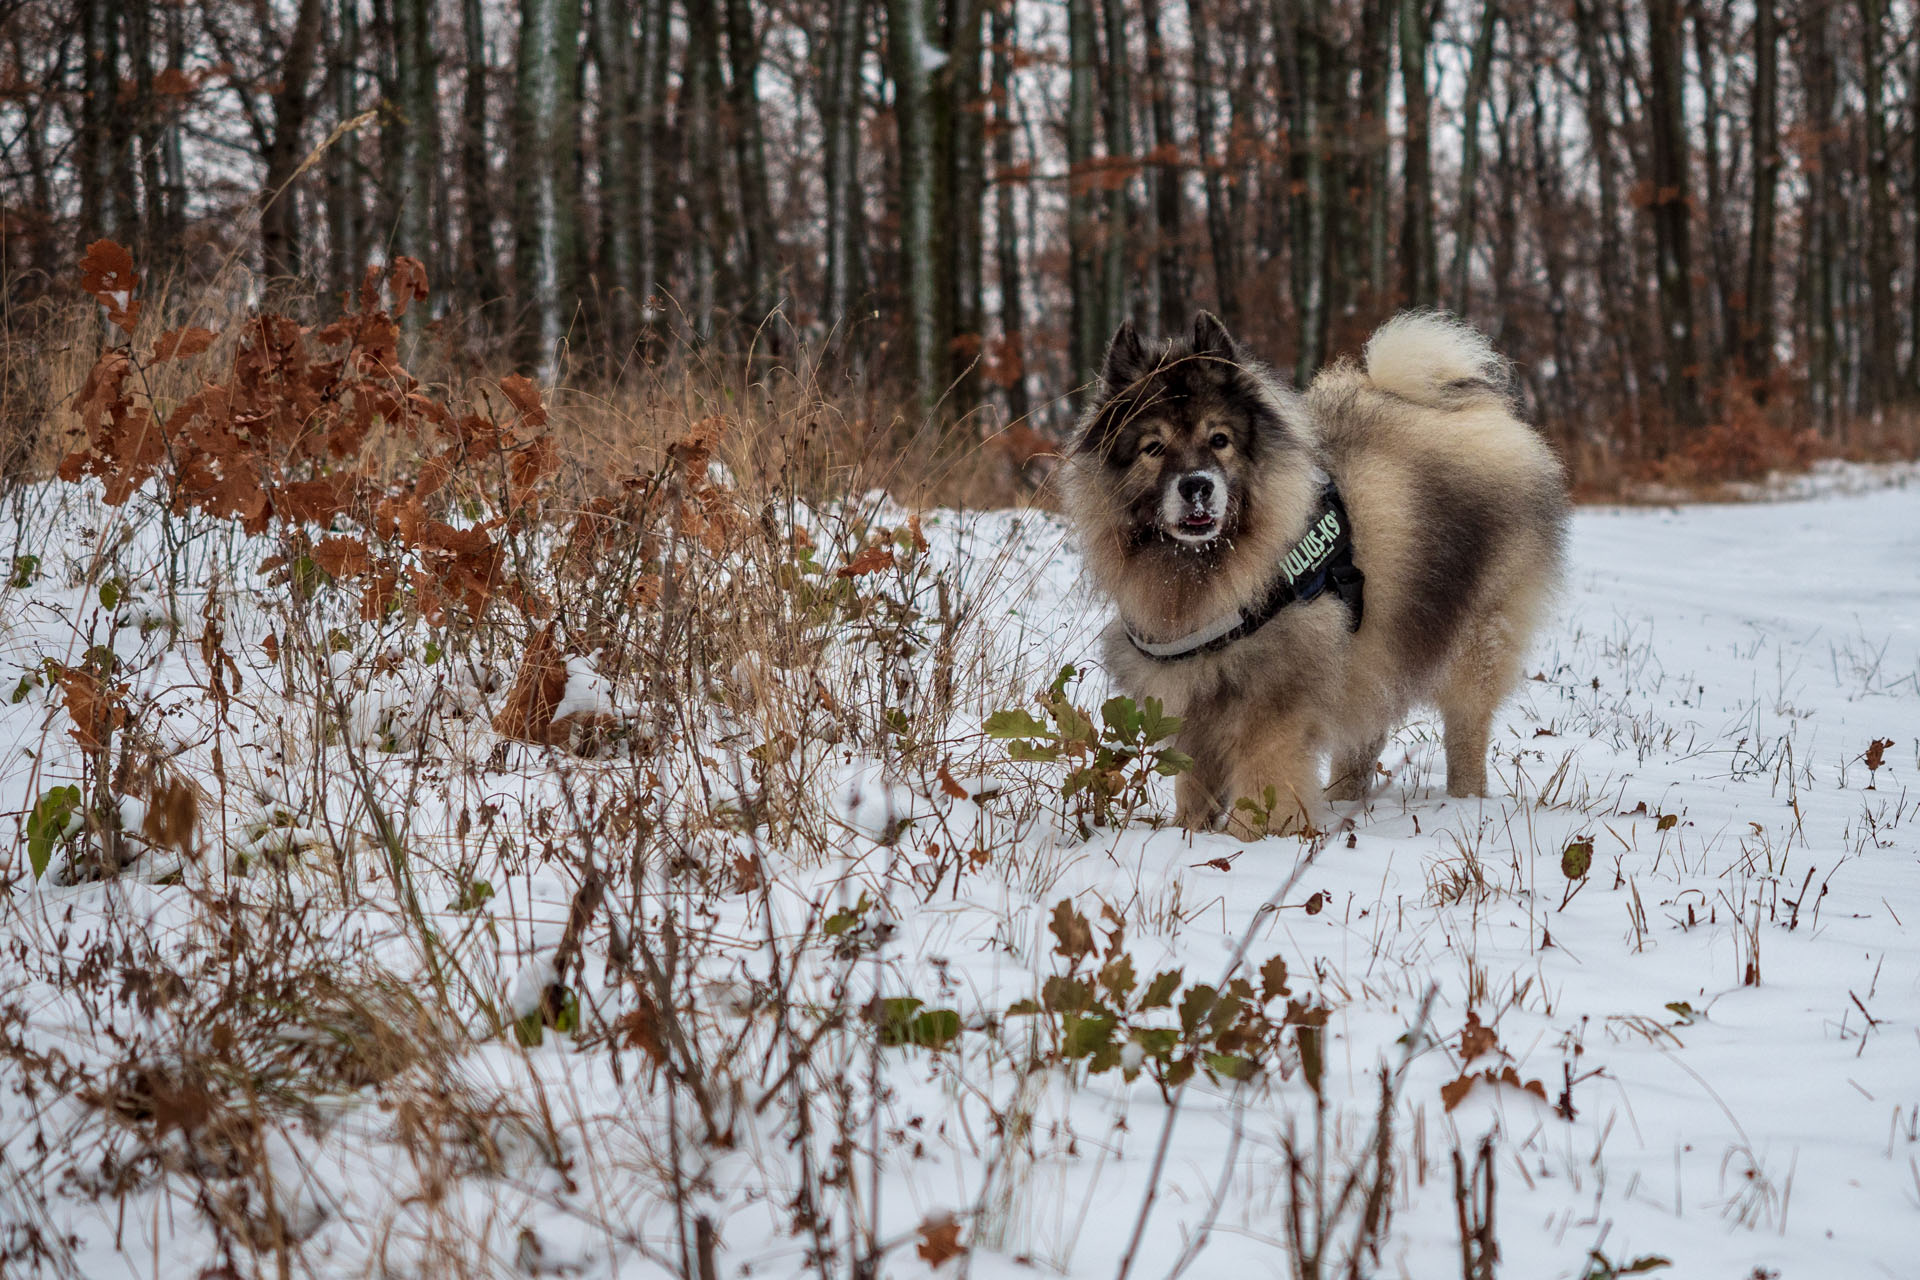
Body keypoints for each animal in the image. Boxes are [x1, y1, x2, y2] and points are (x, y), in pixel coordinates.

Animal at [1059, 305, 1566, 836]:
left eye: (1219, 440)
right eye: (1154, 448)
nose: (1197, 485)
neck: (1207, 567)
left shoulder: (1271, 702)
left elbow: (1262, 786)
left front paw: (1254, 839)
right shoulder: (1197, 695)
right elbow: (1193, 784)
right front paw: (1189, 833)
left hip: (1473, 640)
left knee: (1465, 728)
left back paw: (1465, 801)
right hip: (1374, 650)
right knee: (1364, 736)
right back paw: (1344, 801)